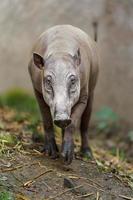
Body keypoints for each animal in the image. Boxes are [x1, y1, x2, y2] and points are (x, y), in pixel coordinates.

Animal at [28, 24, 98, 164]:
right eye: (48, 81)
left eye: (73, 80)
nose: (62, 118)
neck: (60, 51)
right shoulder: (37, 91)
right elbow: (47, 120)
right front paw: (51, 153)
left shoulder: (83, 95)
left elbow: (73, 123)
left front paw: (67, 158)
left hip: (92, 87)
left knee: (85, 124)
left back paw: (87, 154)